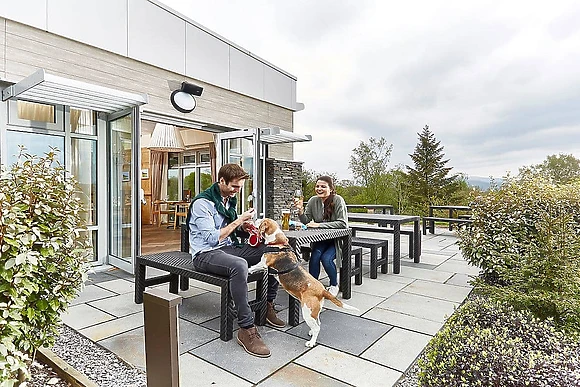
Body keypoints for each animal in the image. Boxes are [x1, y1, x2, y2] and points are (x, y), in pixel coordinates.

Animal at [249, 218, 358, 348]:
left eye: (261, 220)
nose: (254, 218)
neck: (278, 242)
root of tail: (322, 291)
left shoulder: (263, 264)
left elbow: (253, 267)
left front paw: (248, 269)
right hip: (314, 312)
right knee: (318, 323)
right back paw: (311, 333)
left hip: (307, 312)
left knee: (317, 328)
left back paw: (311, 342)